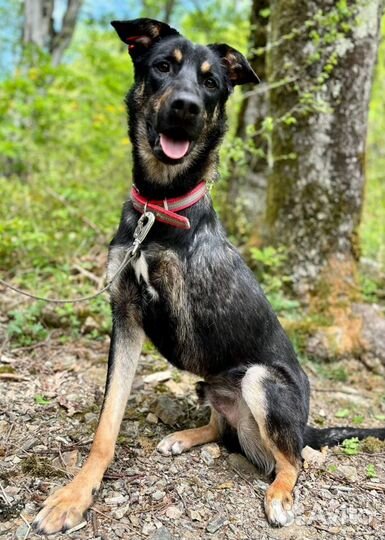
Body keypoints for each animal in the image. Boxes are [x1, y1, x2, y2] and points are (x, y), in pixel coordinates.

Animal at [33, 17, 384, 536]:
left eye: (212, 82)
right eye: (162, 66)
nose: (186, 107)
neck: (159, 208)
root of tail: (305, 424)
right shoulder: (126, 314)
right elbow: (106, 422)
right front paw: (74, 496)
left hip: (260, 380)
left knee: (293, 459)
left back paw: (279, 493)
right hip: (211, 380)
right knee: (223, 428)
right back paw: (185, 436)